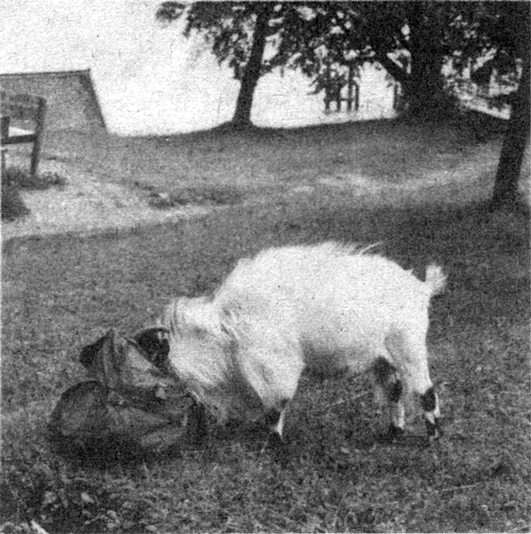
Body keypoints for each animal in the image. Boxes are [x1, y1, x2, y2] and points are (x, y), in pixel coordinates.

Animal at [160, 243, 446, 444]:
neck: (230, 324)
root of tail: (421, 288)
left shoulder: (276, 365)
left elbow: (276, 405)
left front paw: (274, 444)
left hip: (408, 347)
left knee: (425, 391)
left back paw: (433, 437)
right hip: (383, 359)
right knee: (394, 392)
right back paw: (393, 433)